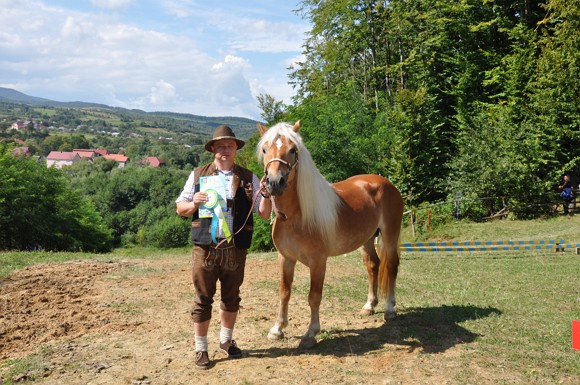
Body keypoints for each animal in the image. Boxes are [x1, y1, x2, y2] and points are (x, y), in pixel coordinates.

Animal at [258, 120, 404, 348]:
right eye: (265, 149)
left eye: (293, 150)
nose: (274, 182)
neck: (296, 215)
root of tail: (387, 184)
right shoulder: (285, 258)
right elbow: (284, 292)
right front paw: (277, 329)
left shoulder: (318, 261)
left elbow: (314, 296)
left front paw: (311, 333)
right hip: (367, 239)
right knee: (373, 265)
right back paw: (369, 306)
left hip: (389, 235)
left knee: (391, 266)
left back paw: (389, 310)